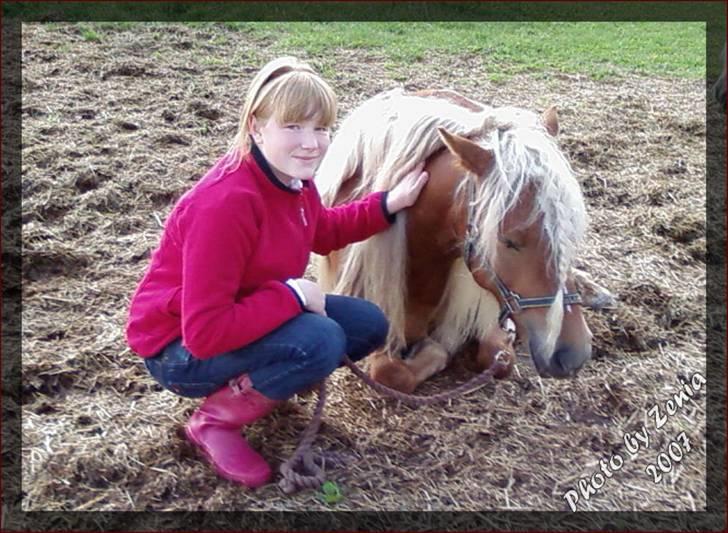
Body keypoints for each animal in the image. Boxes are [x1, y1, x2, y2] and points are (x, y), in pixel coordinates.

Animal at [316, 89, 596, 392]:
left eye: (571, 234)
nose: (572, 355)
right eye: (508, 241)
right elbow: (393, 373)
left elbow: (499, 357)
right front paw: (434, 348)